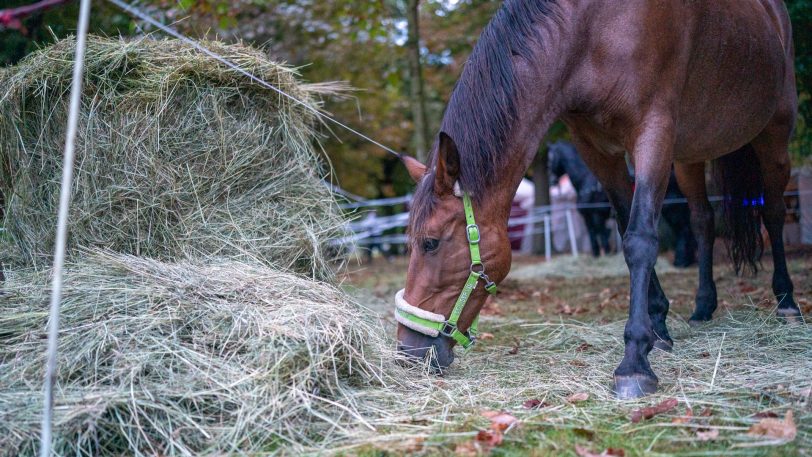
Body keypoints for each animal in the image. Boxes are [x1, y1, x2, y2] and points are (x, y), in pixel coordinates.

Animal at [396, 0, 804, 400]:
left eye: (431, 243)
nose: (408, 352)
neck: (593, 30)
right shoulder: (597, 150)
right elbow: (625, 227)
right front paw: (658, 327)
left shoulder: (653, 132)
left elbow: (639, 240)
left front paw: (635, 361)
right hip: (690, 156)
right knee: (703, 221)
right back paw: (704, 306)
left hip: (775, 135)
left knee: (773, 213)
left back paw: (787, 303)